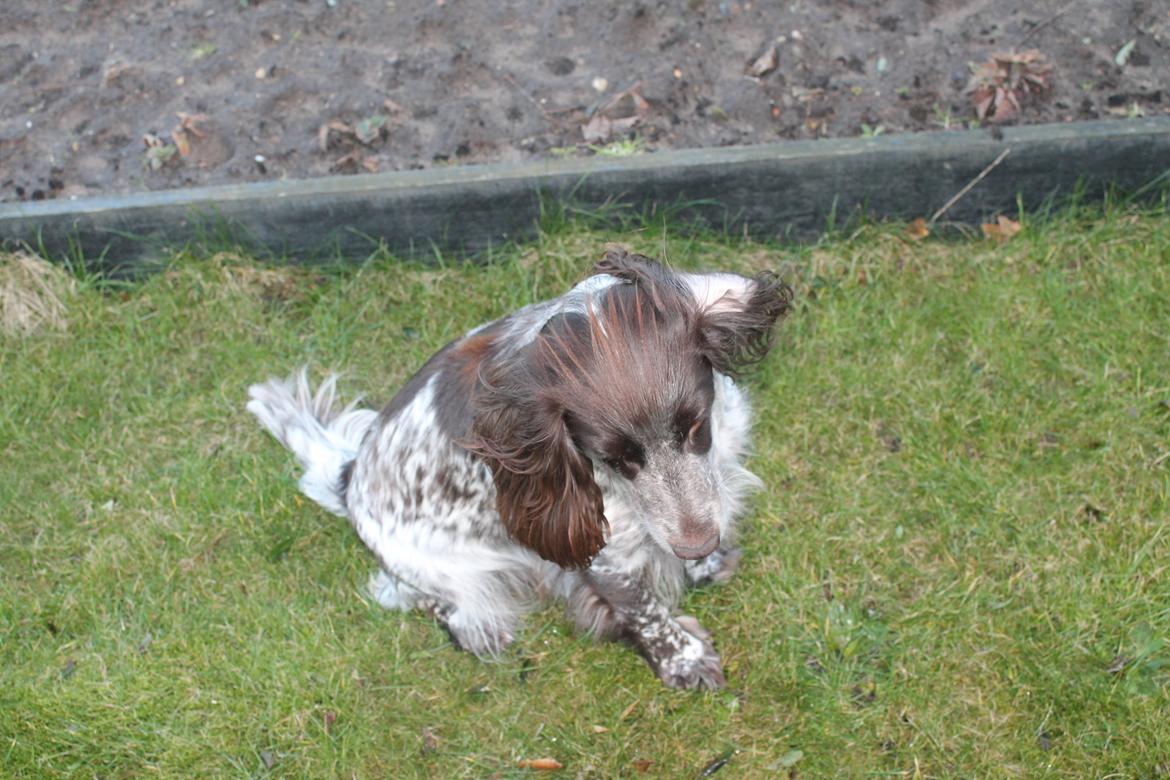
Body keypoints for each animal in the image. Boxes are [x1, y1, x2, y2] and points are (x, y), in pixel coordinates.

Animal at [250, 249, 790, 687]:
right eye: (613, 458)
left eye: (695, 426)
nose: (698, 545)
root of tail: (349, 479)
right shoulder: (605, 553)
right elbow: (645, 612)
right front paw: (684, 659)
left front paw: (704, 565)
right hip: (438, 569)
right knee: (416, 596)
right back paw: (479, 628)